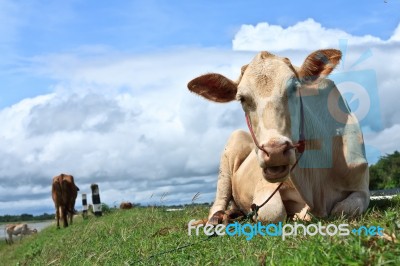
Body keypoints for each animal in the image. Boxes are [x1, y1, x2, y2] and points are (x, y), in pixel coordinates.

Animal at [189, 48, 370, 223]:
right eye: (242, 98)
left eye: (295, 88)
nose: (275, 151)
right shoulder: (264, 188)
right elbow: (273, 213)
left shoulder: (362, 187)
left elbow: (343, 209)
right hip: (233, 144)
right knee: (219, 200)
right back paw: (218, 217)